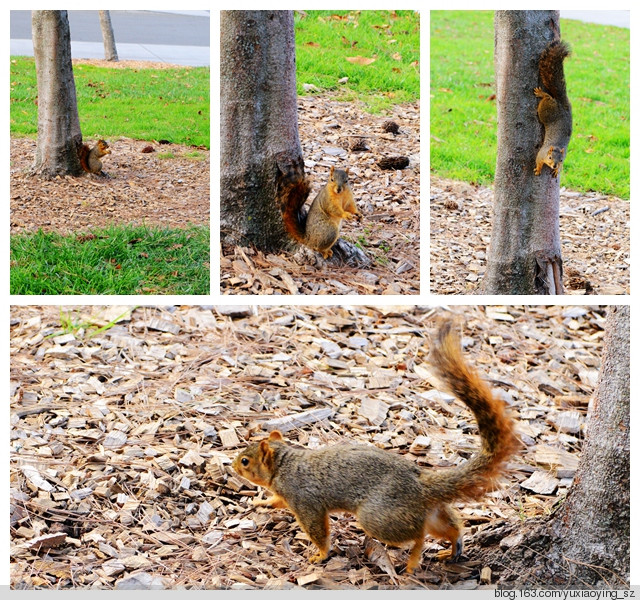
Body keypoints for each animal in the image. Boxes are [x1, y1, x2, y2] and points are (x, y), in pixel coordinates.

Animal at [234, 322, 520, 576]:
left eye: (246, 461)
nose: (233, 465)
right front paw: (262, 501)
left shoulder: (305, 501)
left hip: (378, 517)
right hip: (430, 511)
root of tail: (421, 484)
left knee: (418, 535)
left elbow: (317, 530)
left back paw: (412, 562)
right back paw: (453, 546)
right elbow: (276, 501)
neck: (285, 464)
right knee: (449, 525)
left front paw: (321, 554)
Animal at [532, 38, 572, 176]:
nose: (554, 165)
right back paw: (542, 94)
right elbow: (538, 161)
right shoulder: (541, 153)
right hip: (546, 111)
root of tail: (562, 105)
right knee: (547, 97)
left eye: (561, 160)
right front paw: (538, 169)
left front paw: (557, 170)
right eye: (549, 157)